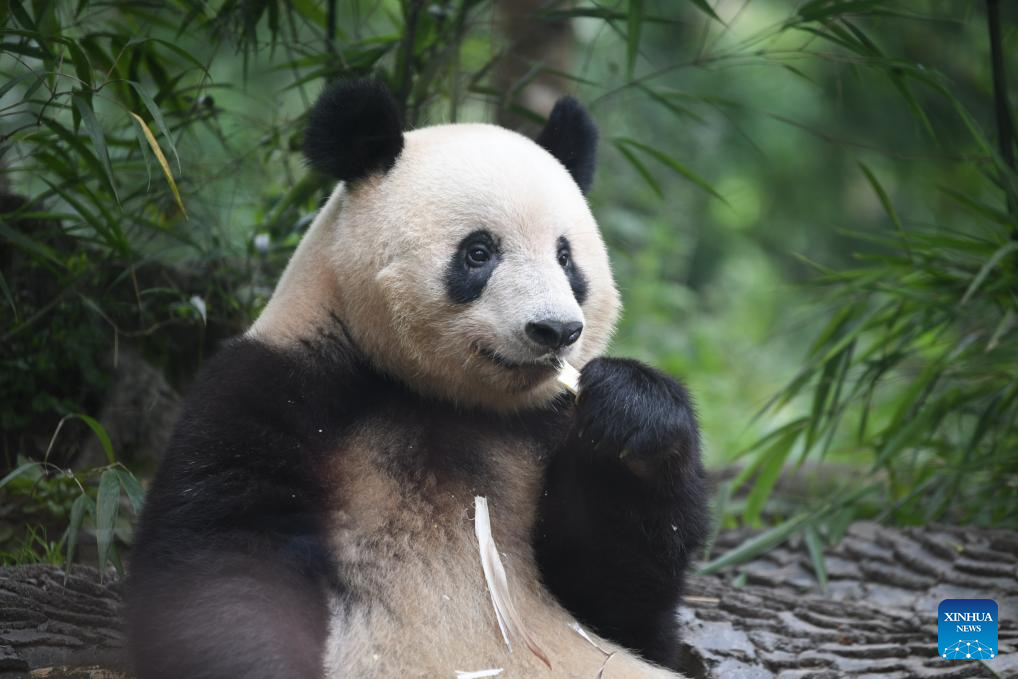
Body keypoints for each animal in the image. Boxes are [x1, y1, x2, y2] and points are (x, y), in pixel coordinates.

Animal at [127, 80, 708, 679]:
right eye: (479, 251)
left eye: (566, 258)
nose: (555, 330)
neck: (441, 398)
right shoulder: (276, 388)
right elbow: (225, 560)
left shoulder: (543, 426)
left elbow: (615, 590)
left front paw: (630, 416)